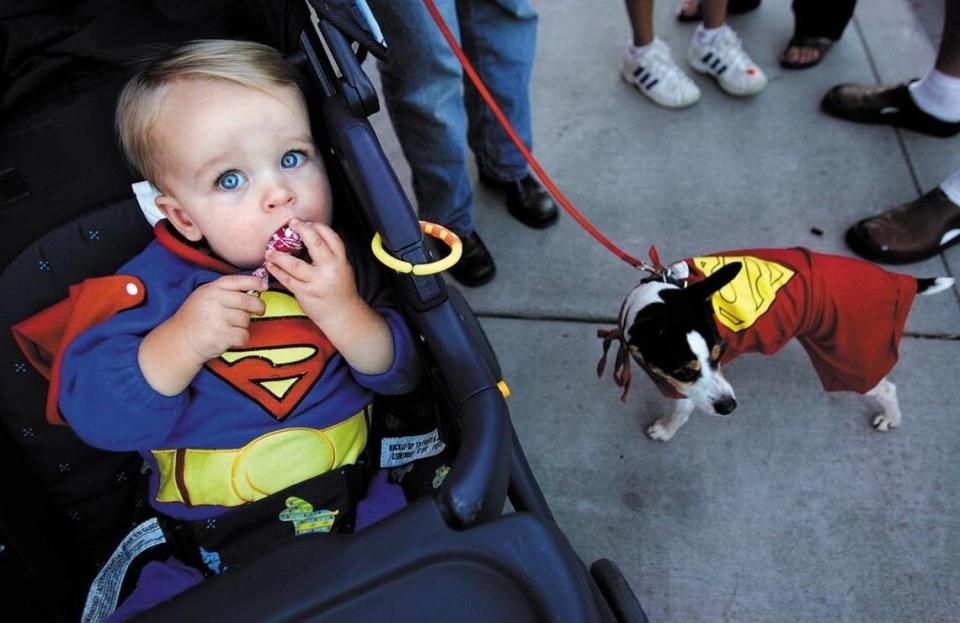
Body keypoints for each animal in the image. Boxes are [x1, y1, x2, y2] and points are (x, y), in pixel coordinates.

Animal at [600, 249, 952, 444]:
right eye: (684, 370)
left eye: (720, 353)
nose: (729, 407)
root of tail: (893, 279)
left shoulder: (687, 393)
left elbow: (681, 412)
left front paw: (665, 431)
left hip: (848, 355)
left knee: (886, 387)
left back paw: (890, 418)